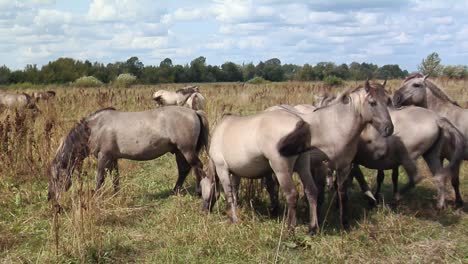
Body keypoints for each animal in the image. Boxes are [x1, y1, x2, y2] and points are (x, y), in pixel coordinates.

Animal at [48, 105, 208, 202]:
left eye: (56, 178)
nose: (50, 197)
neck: (95, 128)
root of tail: (194, 112)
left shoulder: (103, 157)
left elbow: (100, 178)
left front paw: (96, 197)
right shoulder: (112, 158)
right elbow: (115, 178)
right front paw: (116, 195)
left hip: (186, 150)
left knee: (198, 167)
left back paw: (199, 192)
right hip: (179, 151)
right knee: (184, 170)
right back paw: (175, 191)